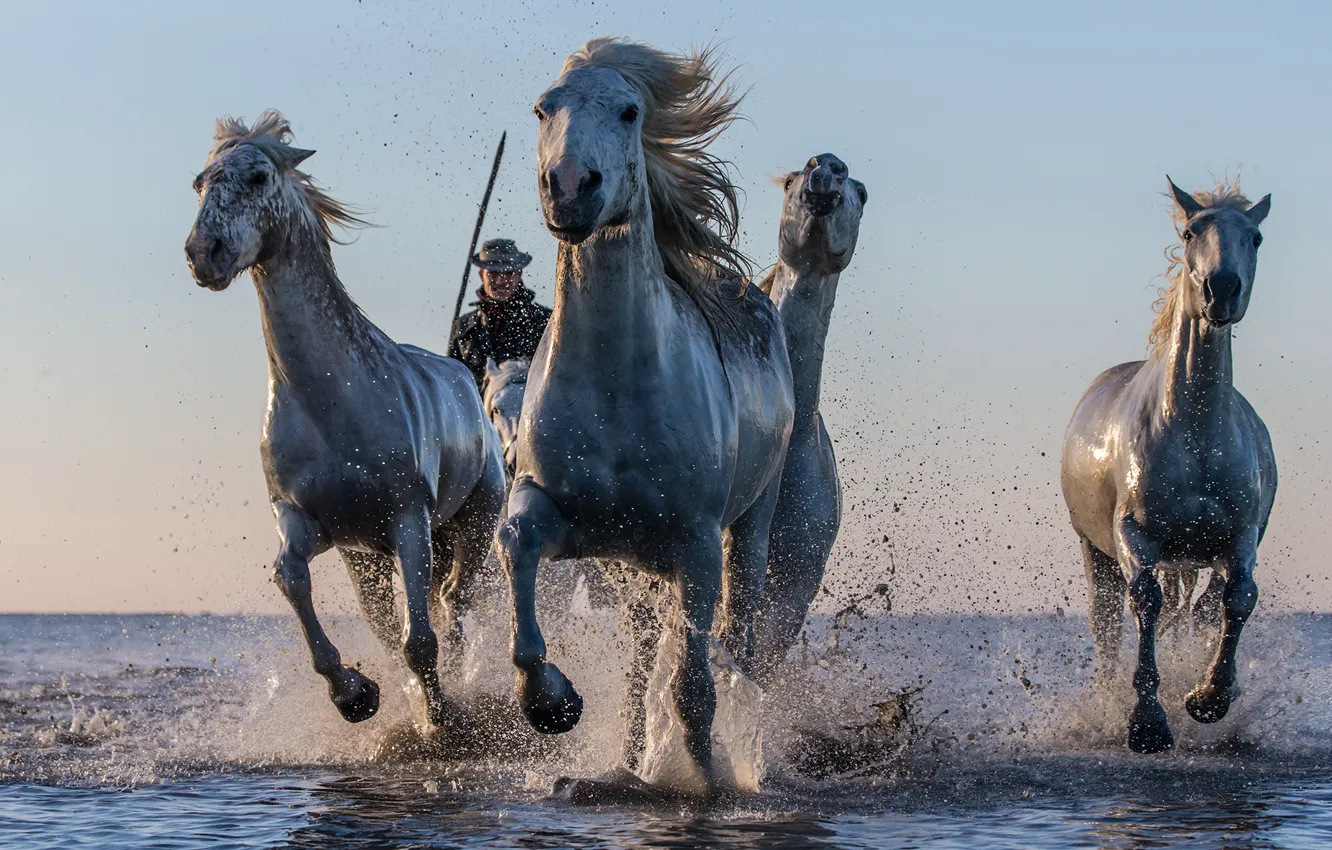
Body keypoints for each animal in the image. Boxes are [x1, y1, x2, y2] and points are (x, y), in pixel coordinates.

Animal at [184, 111, 507, 729]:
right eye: (199, 182)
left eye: (258, 175)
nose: (203, 253)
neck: (332, 403)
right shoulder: (305, 520)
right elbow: (291, 578)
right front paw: (354, 694)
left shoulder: (409, 520)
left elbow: (420, 640)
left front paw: (440, 719)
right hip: (366, 561)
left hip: (476, 521)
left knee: (452, 602)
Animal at [494, 38, 795, 797]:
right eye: (542, 107)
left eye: (630, 111)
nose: (570, 187)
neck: (616, 389)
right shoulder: (562, 515)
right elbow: (515, 545)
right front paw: (551, 703)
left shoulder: (695, 545)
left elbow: (692, 686)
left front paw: (707, 783)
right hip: (630, 567)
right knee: (638, 664)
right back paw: (623, 766)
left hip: (749, 527)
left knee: (734, 647)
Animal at [1060, 177, 1275, 753]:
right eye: (1190, 231)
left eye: (1255, 237)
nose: (1222, 289)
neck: (1194, 433)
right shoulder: (1134, 536)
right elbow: (1147, 603)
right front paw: (1147, 723)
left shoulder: (1239, 536)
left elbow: (1238, 599)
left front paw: (1208, 699)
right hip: (1096, 550)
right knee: (1108, 624)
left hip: (1196, 555)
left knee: (1200, 608)